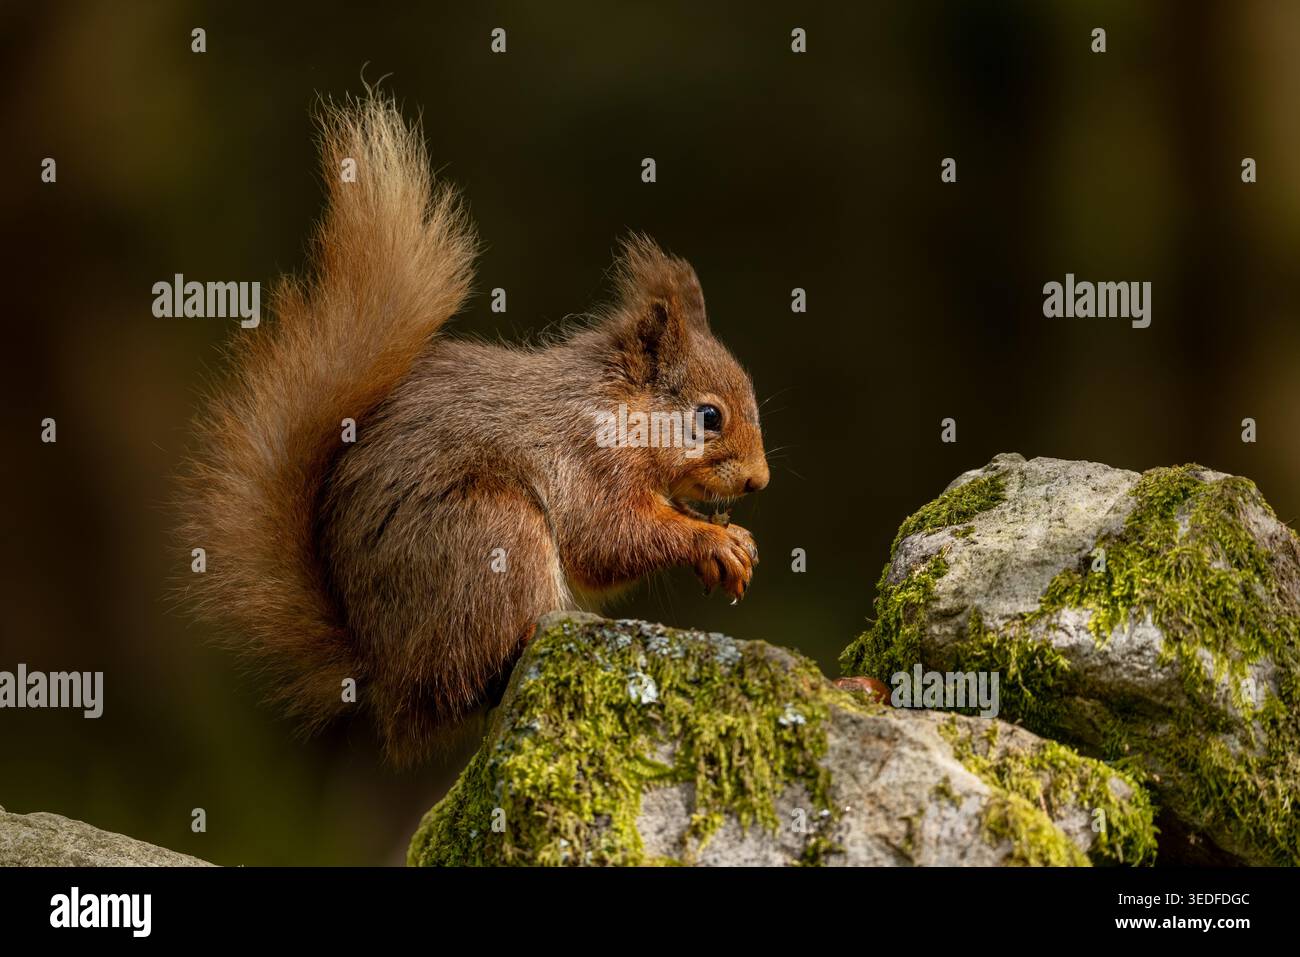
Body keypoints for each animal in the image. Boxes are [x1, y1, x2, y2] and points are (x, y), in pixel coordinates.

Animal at [179, 94, 770, 765]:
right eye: (709, 417)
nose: (759, 481)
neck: (615, 410)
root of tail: (386, 674)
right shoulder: (584, 463)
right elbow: (609, 538)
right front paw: (712, 541)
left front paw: (734, 541)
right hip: (494, 533)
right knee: (476, 676)